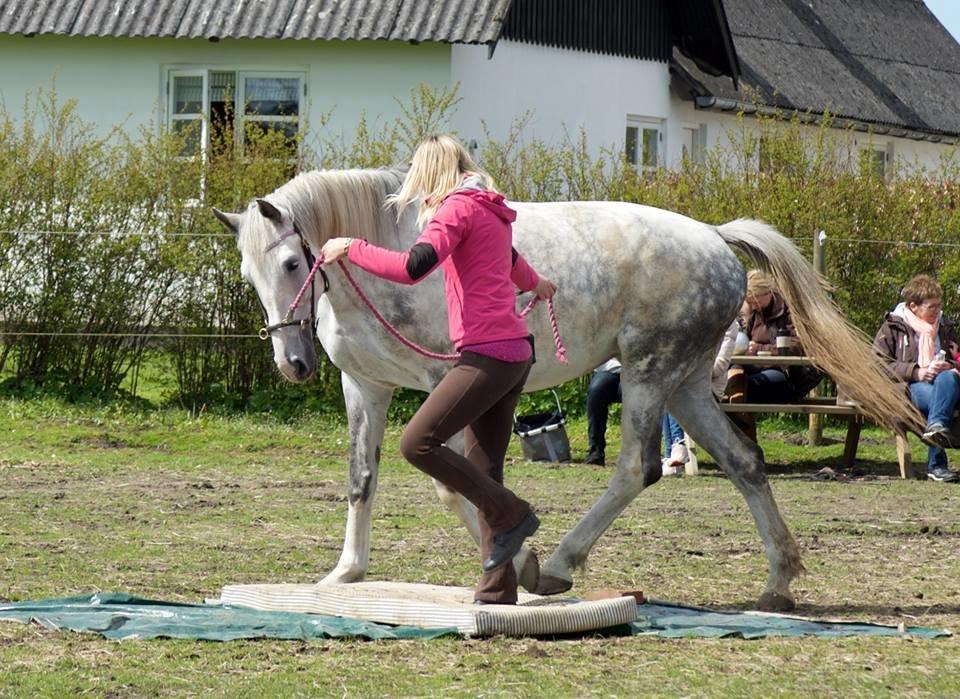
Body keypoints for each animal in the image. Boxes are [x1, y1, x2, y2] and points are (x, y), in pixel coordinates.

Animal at [216, 167, 924, 608]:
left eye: (291, 262)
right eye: (250, 273)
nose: (292, 363)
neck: (387, 258)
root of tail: (716, 238)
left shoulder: (445, 381)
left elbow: (456, 483)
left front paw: (515, 564)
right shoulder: (365, 386)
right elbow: (363, 477)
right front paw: (347, 573)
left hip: (646, 374)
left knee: (636, 468)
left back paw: (557, 565)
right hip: (688, 385)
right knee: (745, 463)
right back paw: (778, 582)